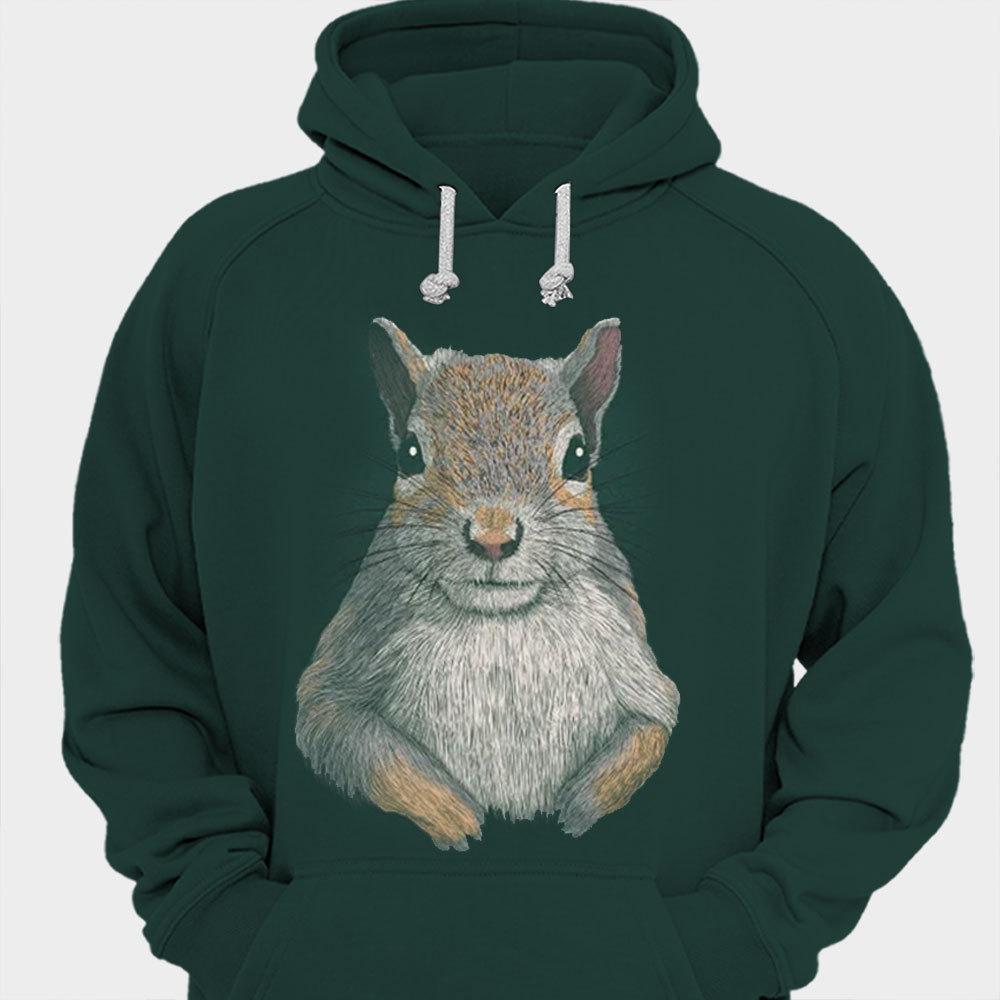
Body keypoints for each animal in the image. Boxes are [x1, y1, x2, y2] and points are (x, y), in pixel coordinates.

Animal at [295, 317, 680, 850]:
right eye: (410, 454)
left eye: (578, 457)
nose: (493, 537)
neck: (499, 619)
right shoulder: (353, 653)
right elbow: (352, 739)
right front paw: (451, 814)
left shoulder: (630, 650)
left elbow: (651, 727)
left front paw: (577, 807)